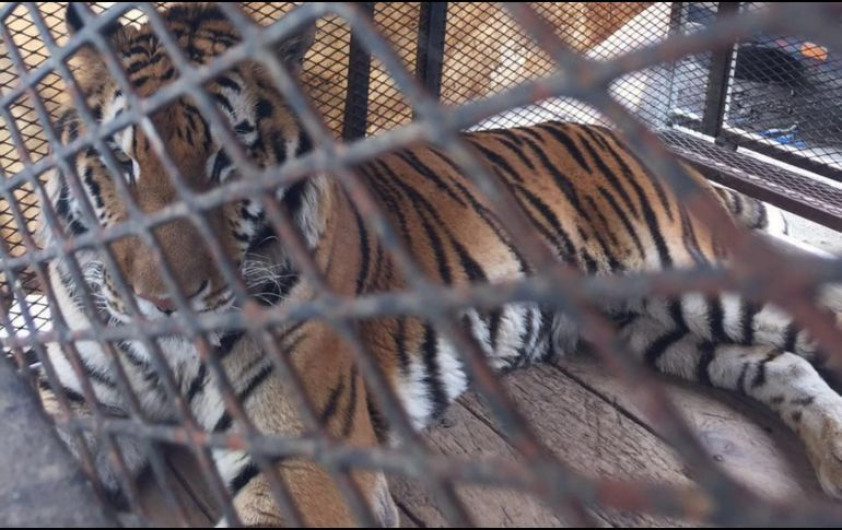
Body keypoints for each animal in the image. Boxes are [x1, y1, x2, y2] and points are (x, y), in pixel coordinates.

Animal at [32, 2, 842, 527]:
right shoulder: (77, 400)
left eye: (230, 160)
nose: (166, 303)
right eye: (120, 162)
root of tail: (632, 138)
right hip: (652, 328)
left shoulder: (308, 460)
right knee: (780, 363)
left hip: (693, 275)